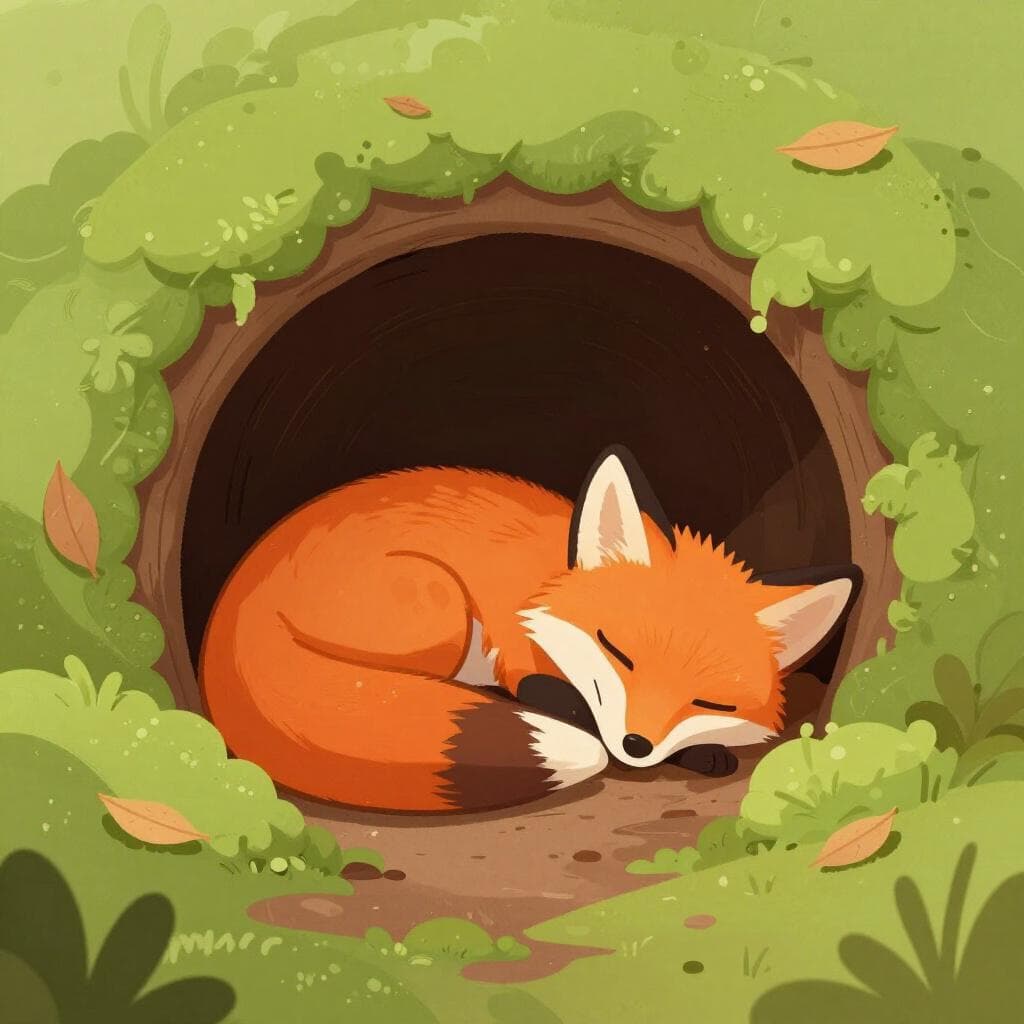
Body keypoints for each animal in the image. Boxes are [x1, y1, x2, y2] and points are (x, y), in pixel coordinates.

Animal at [200, 446, 861, 814]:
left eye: (709, 702)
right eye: (617, 653)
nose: (636, 745)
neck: (546, 580)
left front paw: (701, 753)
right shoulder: (516, 653)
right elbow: (555, 699)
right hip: (441, 609)